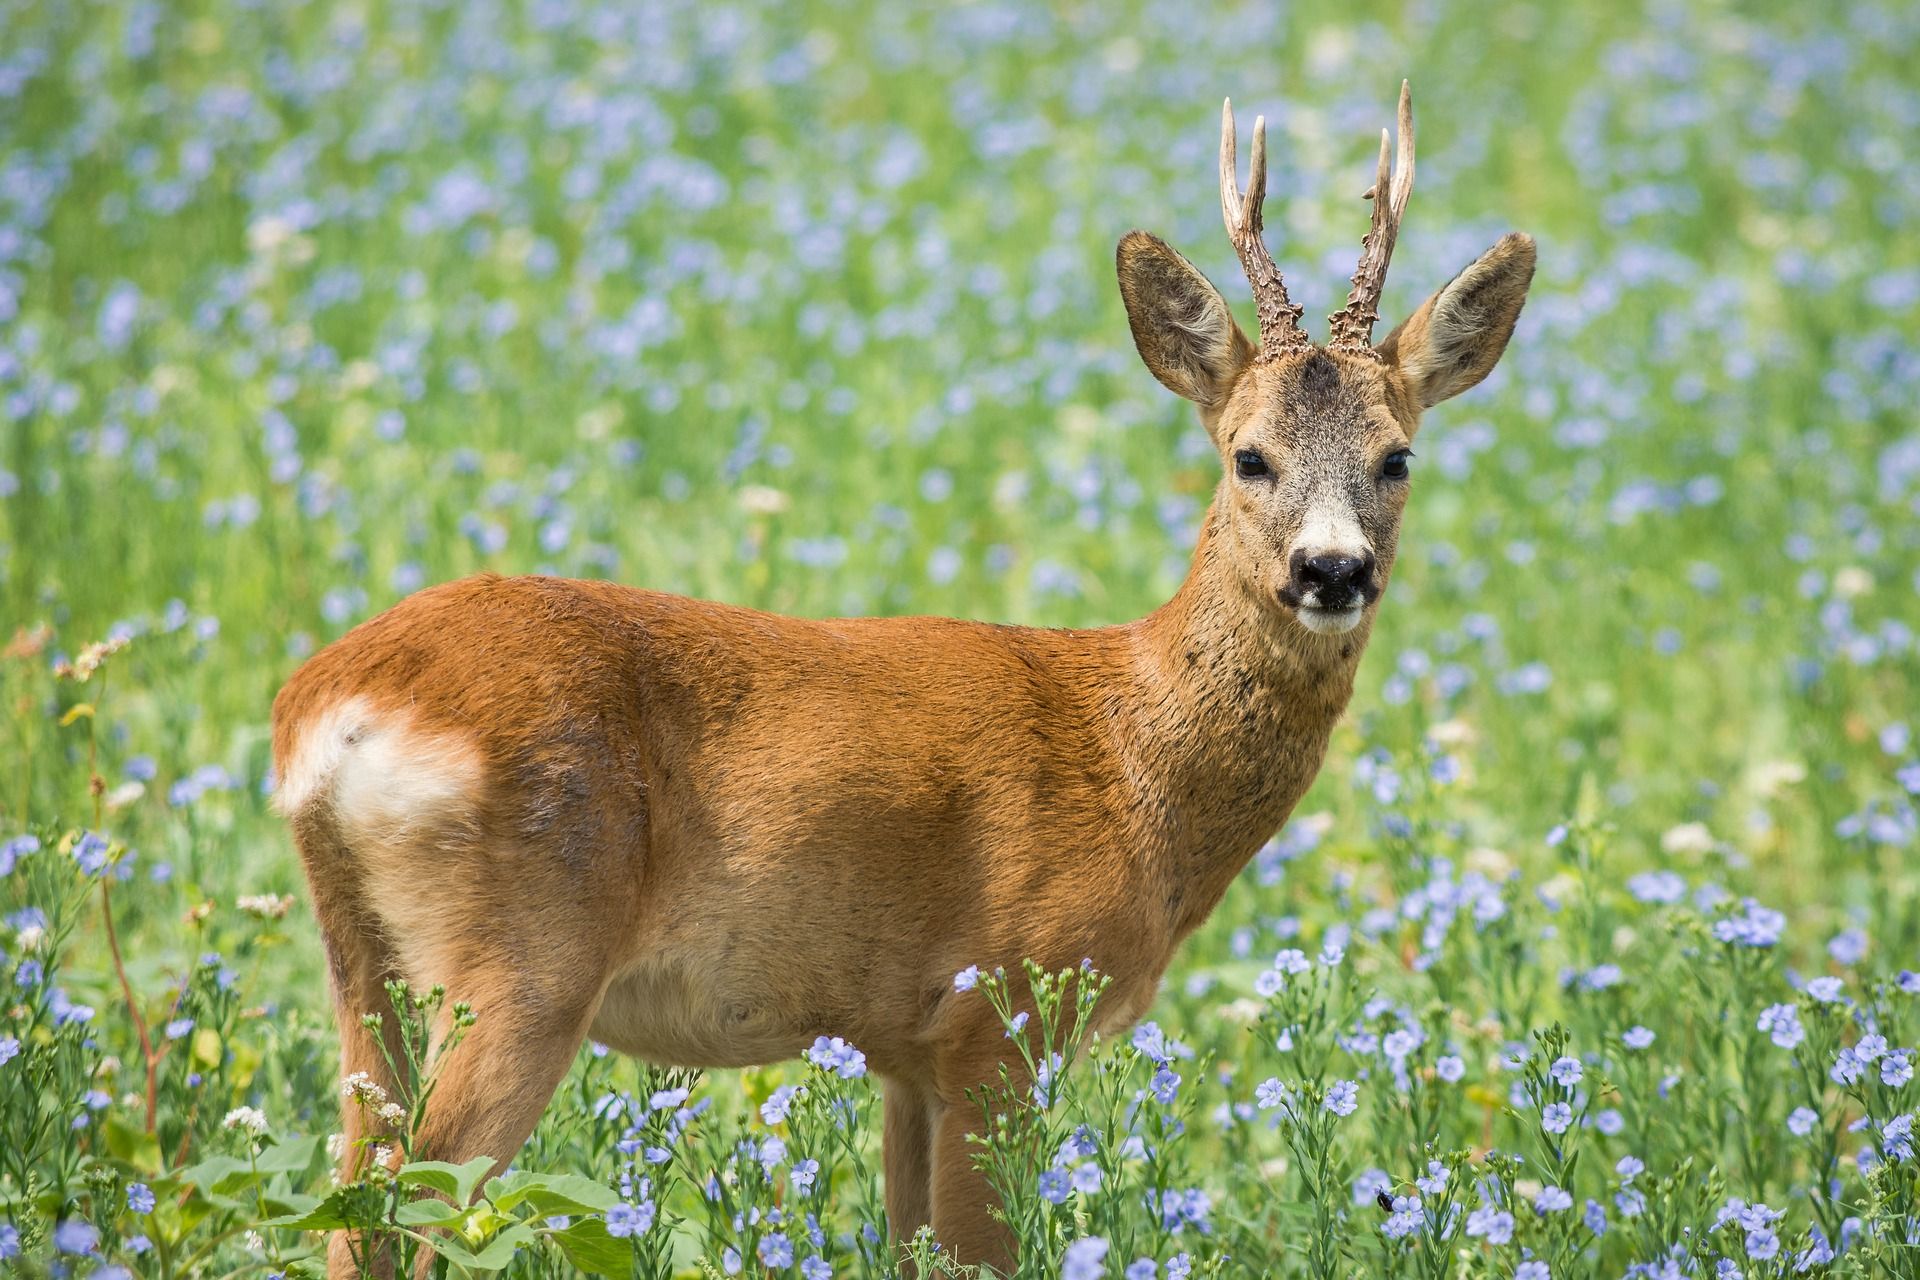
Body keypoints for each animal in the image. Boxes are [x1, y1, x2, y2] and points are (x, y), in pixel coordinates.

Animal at [270, 84, 1536, 1274]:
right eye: (1250, 456)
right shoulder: (1000, 1012)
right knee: (407, 1206)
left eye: (1397, 456)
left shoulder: (903, 1052)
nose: (1333, 569)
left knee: (352, 1193)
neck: (1133, 759)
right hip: (524, 956)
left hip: (366, 962)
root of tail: (329, 707)